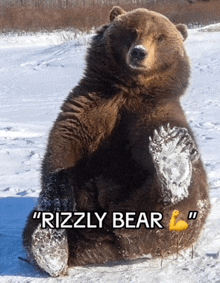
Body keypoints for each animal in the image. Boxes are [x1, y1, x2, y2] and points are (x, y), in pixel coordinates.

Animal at [22, 6, 210, 278]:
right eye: (132, 31)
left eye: (160, 37)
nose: (139, 52)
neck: (128, 89)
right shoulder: (89, 106)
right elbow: (62, 149)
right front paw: (57, 203)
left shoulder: (151, 112)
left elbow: (149, 148)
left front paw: (171, 150)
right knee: (34, 226)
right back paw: (51, 248)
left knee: (180, 204)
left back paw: (172, 167)